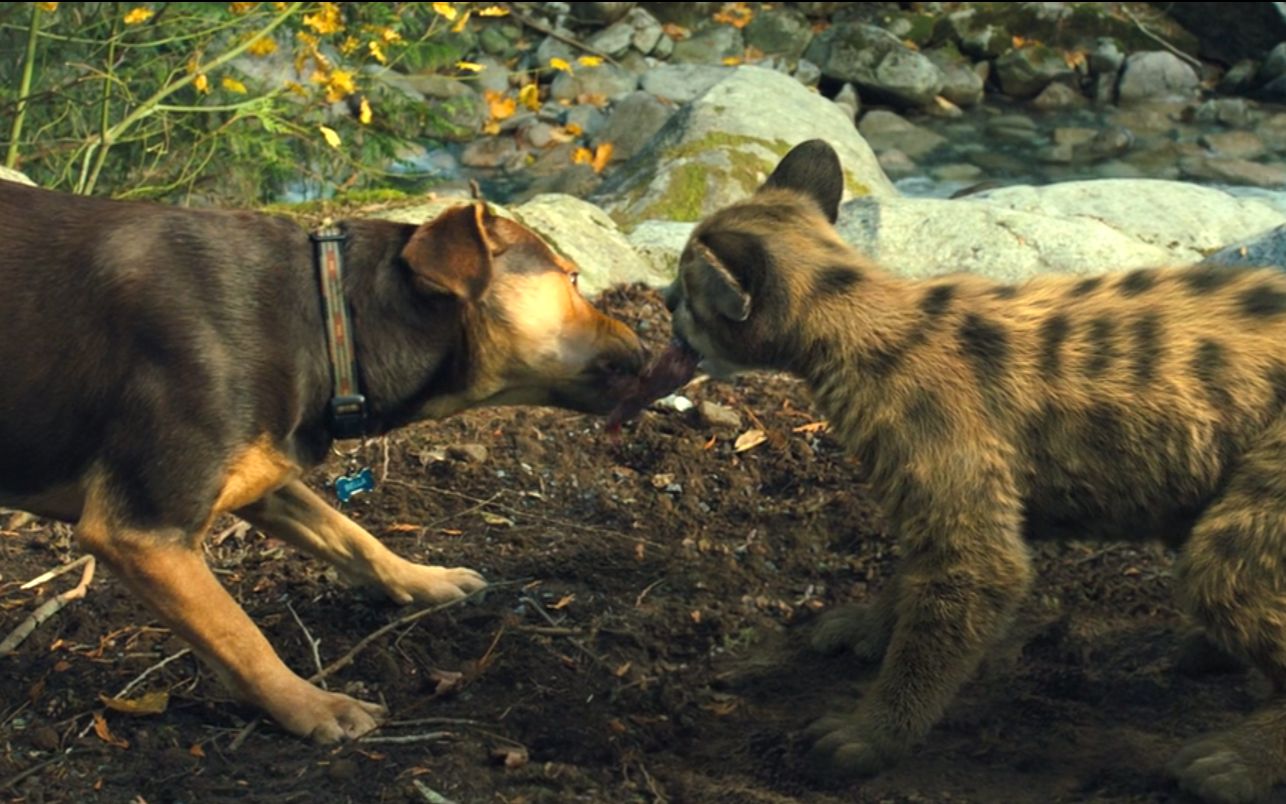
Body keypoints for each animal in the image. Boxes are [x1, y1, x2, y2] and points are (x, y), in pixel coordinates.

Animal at [0, 180, 643, 740]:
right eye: (574, 278)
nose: (645, 341)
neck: (334, 318)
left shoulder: (266, 478)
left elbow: (350, 534)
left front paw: (425, 580)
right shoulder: (143, 532)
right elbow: (239, 633)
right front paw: (314, 707)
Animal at [663, 140, 1286, 797]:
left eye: (686, 287)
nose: (662, 299)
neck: (861, 318)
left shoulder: (965, 513)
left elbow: (940, 622)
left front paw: (869, 735)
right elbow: (910, 574)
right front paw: (869, 626)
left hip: (1238, 538)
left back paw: (1233, 760)